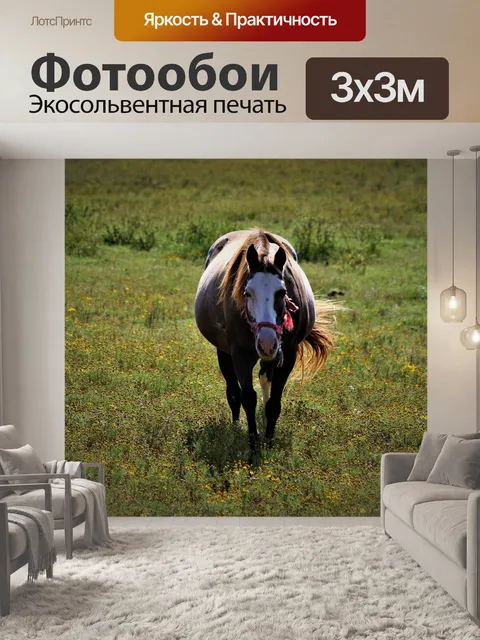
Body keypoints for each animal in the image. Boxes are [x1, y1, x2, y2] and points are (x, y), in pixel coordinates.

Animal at [194, 229, 334, 451]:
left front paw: (269, 441)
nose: (267, 342)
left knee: (264, 379)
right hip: (224, 352)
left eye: (282, 292)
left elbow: (274, 402)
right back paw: (235, 426)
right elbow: (247, 397)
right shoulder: (240, 354)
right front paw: (253, 443)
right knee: (233, 392)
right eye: (247, 293)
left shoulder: (288, 354)